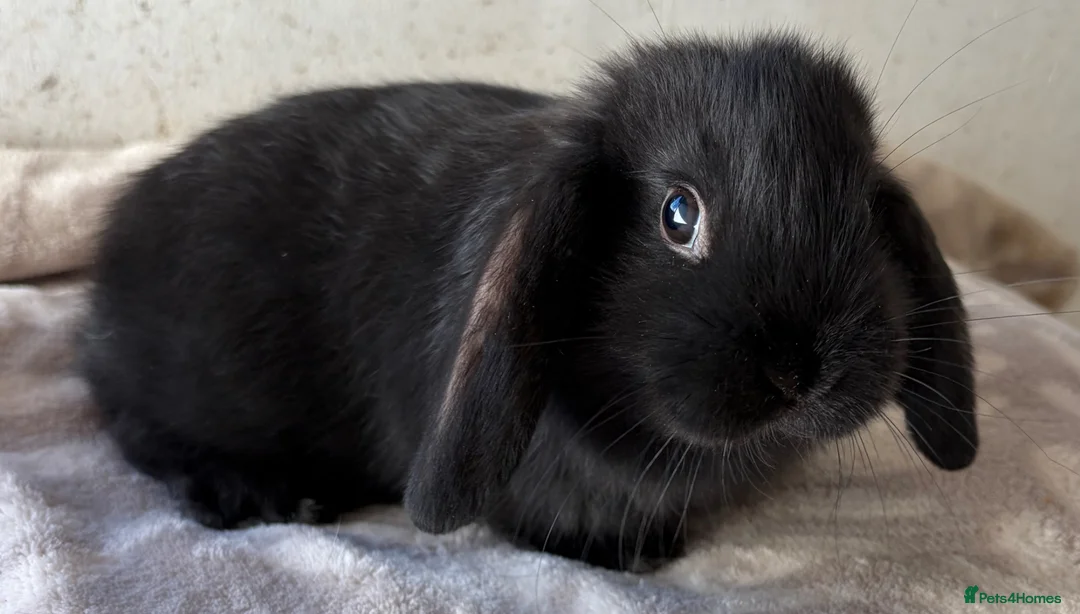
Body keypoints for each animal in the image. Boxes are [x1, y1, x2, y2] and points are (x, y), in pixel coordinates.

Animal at [76, 33, 978, 573]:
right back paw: (255, 494)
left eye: (864, 211)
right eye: (677, 214)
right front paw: (625, 556)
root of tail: (116, 248)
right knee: (134, 428)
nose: (799, 371)